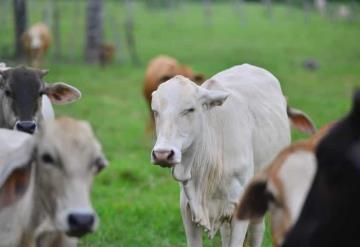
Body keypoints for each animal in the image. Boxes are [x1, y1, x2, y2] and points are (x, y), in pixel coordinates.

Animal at [150, 64, 314, 247]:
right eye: (155, 111)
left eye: (190, 109)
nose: (162, 154)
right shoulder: (187, 208)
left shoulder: (240, 207)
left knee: (257, 229)